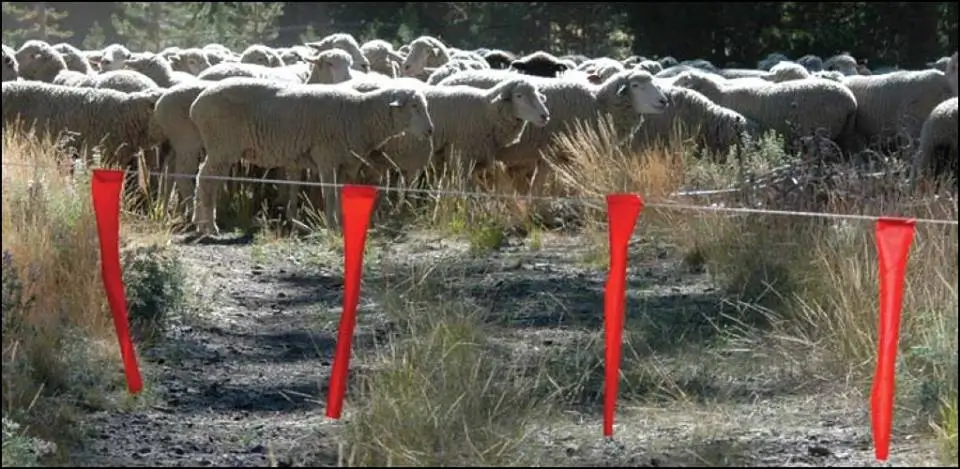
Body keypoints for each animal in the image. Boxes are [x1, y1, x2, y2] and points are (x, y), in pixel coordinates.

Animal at [188, 78, 434, 234]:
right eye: (414, 105)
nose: (431, 130)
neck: (360, 113)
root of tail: (196, 105)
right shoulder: (326, 156)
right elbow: (330, 193)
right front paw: (332, 226)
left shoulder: (347, 163)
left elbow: (341, 192)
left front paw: (341, 223)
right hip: (222, 146)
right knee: (207, 180)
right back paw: (209, 225)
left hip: (220, 148)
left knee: (204, 178)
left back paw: (199, 223)